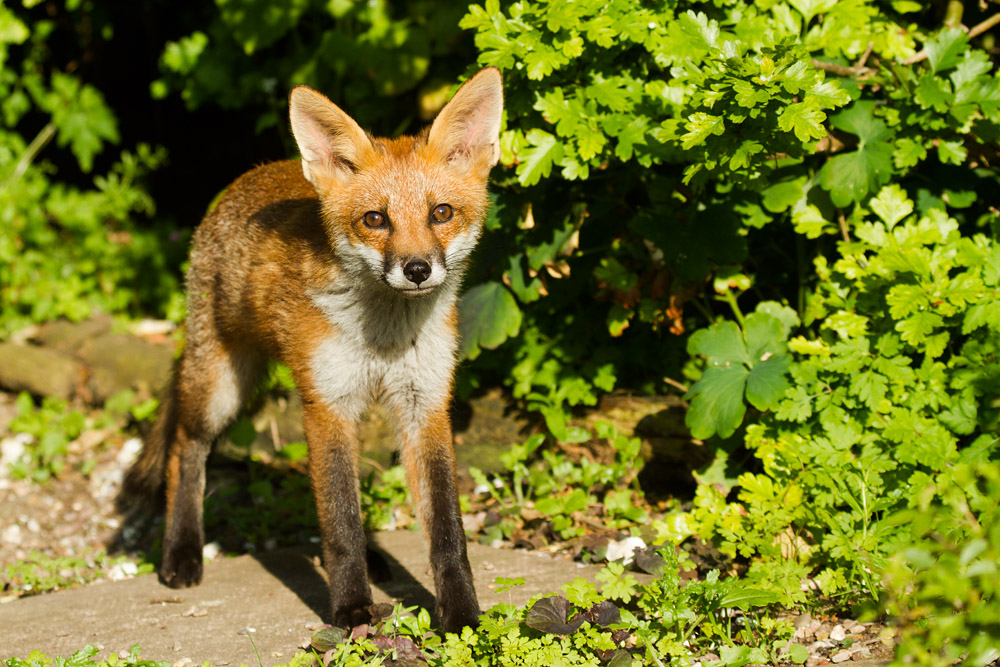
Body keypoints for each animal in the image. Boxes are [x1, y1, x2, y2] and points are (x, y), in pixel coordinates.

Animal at [117, 67, 503, 633]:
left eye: (441, 213)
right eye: (374, 219)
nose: (416, 269)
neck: (384, 337)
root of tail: (247, 177)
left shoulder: (424, 403)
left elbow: (447, 532)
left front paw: (462, 617)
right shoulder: (327, 405)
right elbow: (340, 522)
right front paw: (351, 610)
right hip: (221, 389)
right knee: (184, 450)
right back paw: (182, 553)